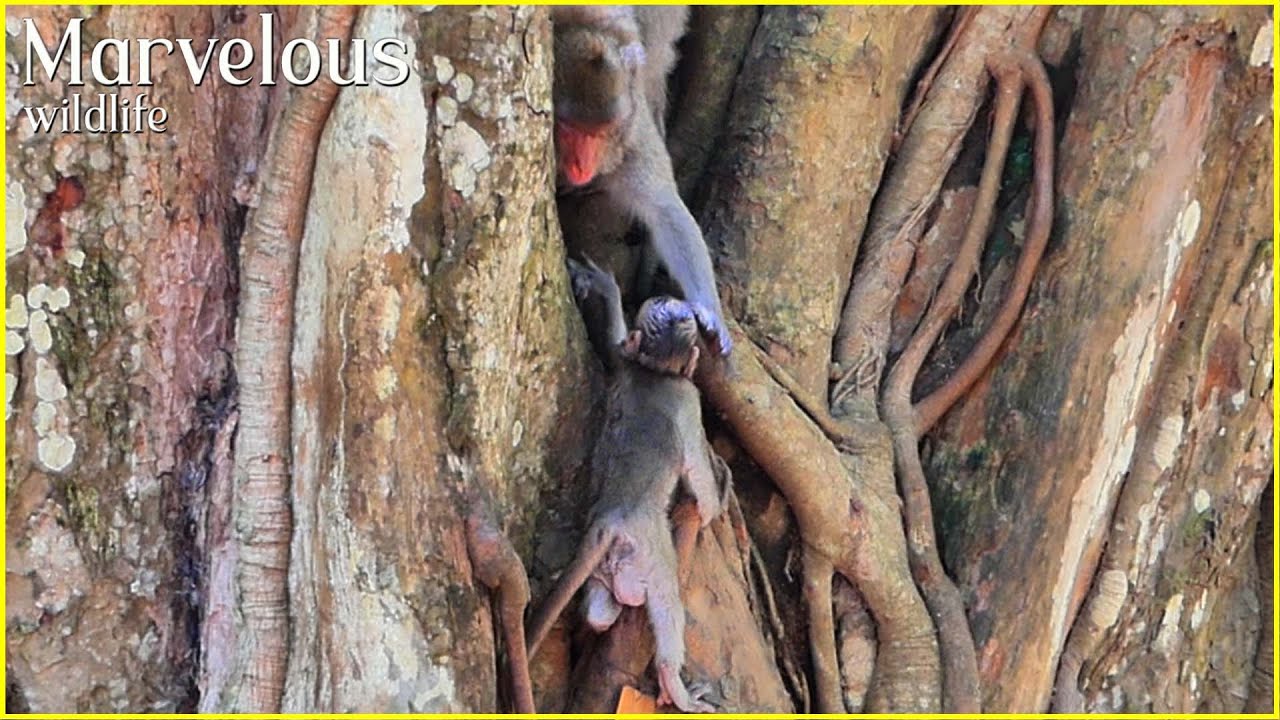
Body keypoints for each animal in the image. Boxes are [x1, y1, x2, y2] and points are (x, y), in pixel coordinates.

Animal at [526, 258, 723, 713]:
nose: (672, 301)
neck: (655, 372)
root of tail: (608, 523)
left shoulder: (626, 364)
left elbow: (616, 345)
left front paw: (605, 287)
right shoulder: (689, 399)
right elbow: (700, 480)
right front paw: (713, 504)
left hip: (608, 568)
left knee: (598, 612)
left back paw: (604, 617)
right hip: (650, 553)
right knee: (667, 604)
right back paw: (676, 686)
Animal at [550, 6, 733, 358]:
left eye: (602, 132)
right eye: (567, 128)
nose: (582, 167)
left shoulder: (631, 142)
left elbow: (665, 212)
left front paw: (709, 311)